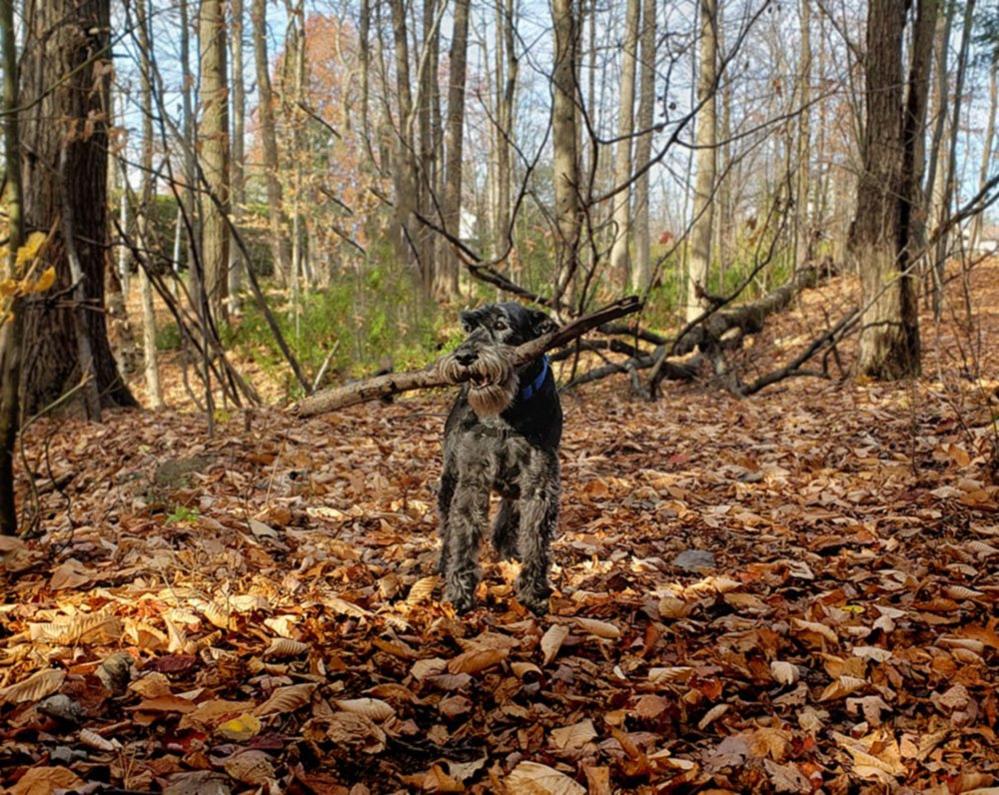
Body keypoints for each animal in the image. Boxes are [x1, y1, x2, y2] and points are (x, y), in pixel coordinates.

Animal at [438, 304, 564, 616]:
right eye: (469, 328)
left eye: (500, 324)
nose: (464, 356)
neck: (509, 410)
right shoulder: (472, 477)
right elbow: (463, 532)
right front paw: (459, 591)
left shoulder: (539, 480)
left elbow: (536, 537)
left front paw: (533, 592)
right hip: (449, 479)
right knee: (446, 525)